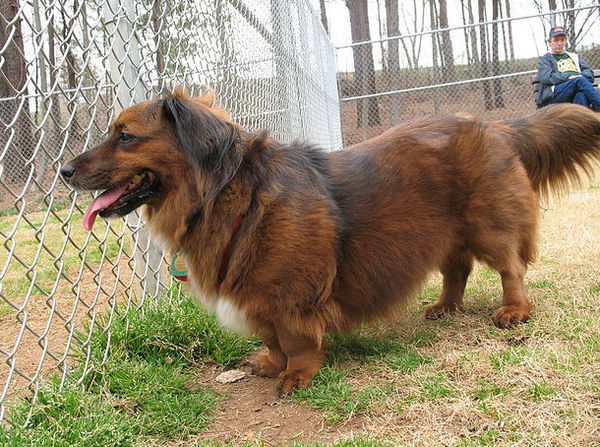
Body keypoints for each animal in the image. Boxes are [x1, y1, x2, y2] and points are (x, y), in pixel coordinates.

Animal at [61, 91, 600, 396]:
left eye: (126, 136)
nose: (63, 171)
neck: (231, 193)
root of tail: (496, 124)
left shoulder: (291, 293)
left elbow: (295, 340)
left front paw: (297, 374)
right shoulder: (258, 294)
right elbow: (271, 338)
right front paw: (270, 363)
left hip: (488, 225)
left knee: (510, 266)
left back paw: (514, 310)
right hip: (441, 232)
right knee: (457, 270)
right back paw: (446, 307)